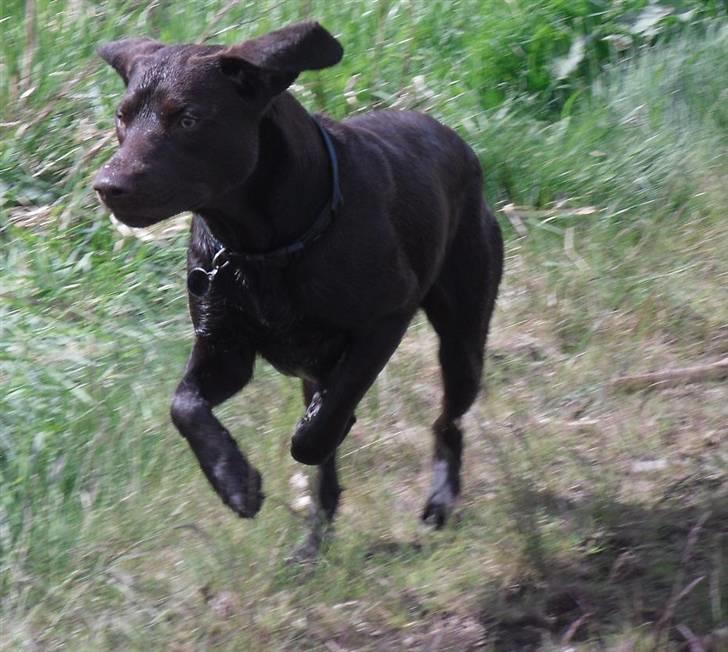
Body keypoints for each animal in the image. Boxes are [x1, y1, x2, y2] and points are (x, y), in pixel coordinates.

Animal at [94, 19, 504, 552]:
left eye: (186, 119)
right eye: (121, 118)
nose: (107, 185)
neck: (262, 248)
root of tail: (458, 143)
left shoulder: (385, 319)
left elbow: (323, 423)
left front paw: (318, 433)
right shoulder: (224, 349)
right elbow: (183, 405)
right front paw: (234, 483)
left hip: (463, 338)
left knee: (446, 419)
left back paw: (439, 500)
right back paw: (313, 545)